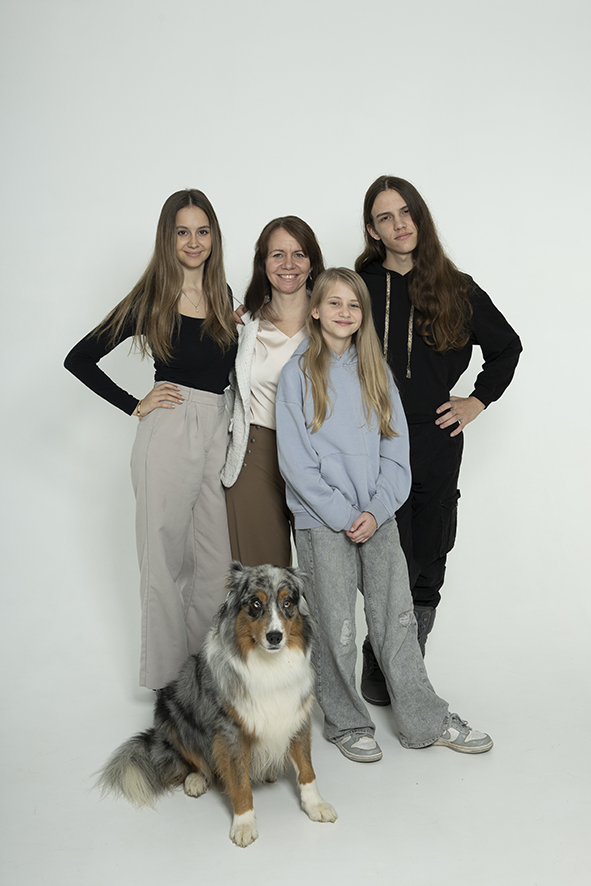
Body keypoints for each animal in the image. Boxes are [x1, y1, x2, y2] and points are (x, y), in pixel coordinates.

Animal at [97, 561, 337, 847]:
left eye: (287, 602)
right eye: (255, 603)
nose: (275, 636)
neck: (270, 665)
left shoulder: (297, 715)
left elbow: (307, 770)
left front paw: (315, 805)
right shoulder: (230, 730)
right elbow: (240, 782)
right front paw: (244, 824)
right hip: (171, 712)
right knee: (195, 760)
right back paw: (196, 779)